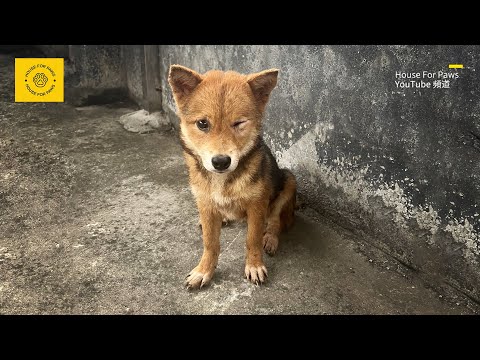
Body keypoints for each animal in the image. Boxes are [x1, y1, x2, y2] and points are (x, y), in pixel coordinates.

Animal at [169, 65, 296, 290]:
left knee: (275, 221)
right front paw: (204, 270)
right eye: (202, 123)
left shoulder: (257, 205)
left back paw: (271, 238)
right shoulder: (204, 201)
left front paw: (254, 265)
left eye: (239, 123)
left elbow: (253, 239)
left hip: (289, 181)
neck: (223, 181)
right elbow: (210, 243)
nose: (220, 162)